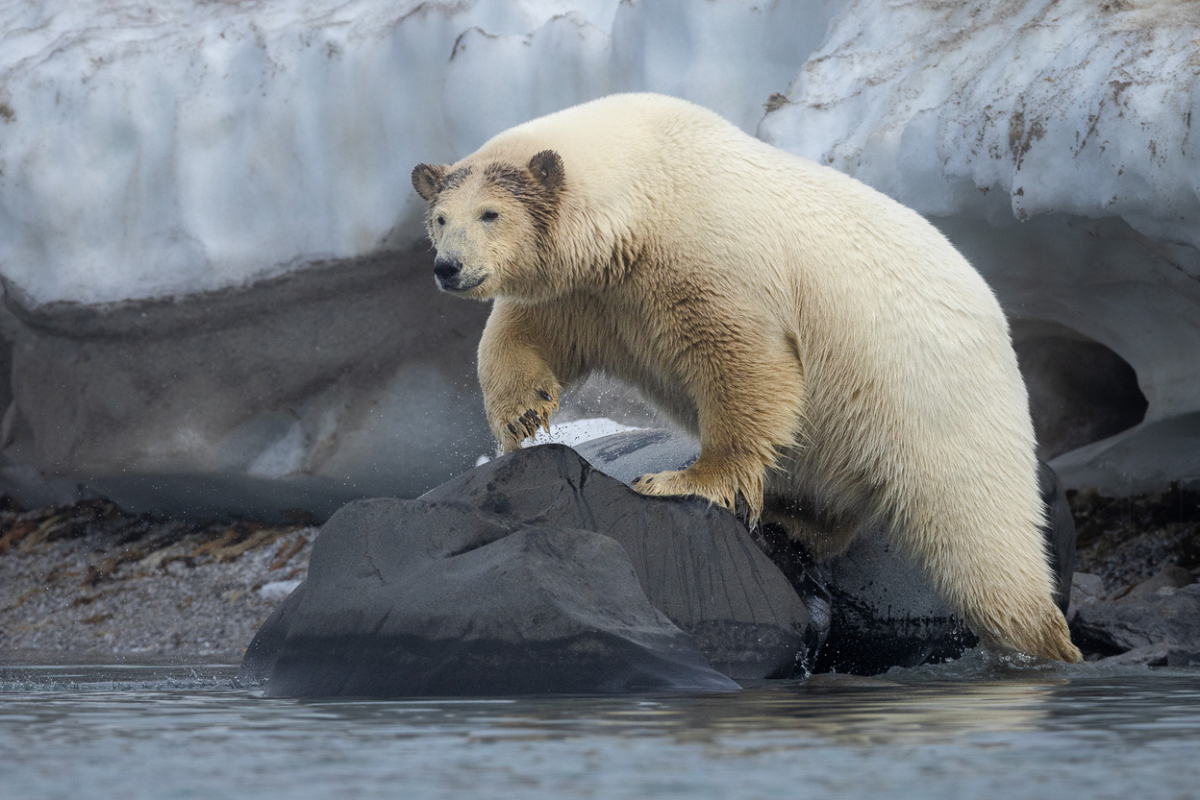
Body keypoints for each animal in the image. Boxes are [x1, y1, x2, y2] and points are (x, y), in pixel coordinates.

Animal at [411, 93, 1081, 663]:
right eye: (440, 218)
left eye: (490, 213)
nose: (449, 268)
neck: (644, 184)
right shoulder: (598, 288)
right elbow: (527, 330)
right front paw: (523, 414)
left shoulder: (709, 252)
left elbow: (745, 361)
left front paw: (683, 480)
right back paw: (796, 518)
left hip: (939, 402)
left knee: (980, 537)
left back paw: (1041, 638)